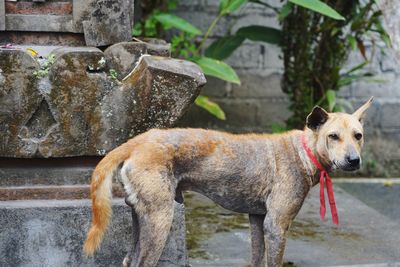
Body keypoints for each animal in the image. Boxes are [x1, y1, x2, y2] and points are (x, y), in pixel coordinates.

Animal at [83, 97, 374, 266]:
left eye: (358, 135)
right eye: (333, 136)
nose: (353, 160)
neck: (303, 151)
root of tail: (138, 141)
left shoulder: (257, 220)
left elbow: (256, 259)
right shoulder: (276, 225)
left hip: (142, 219)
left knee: (129, 260)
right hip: (160, 219)